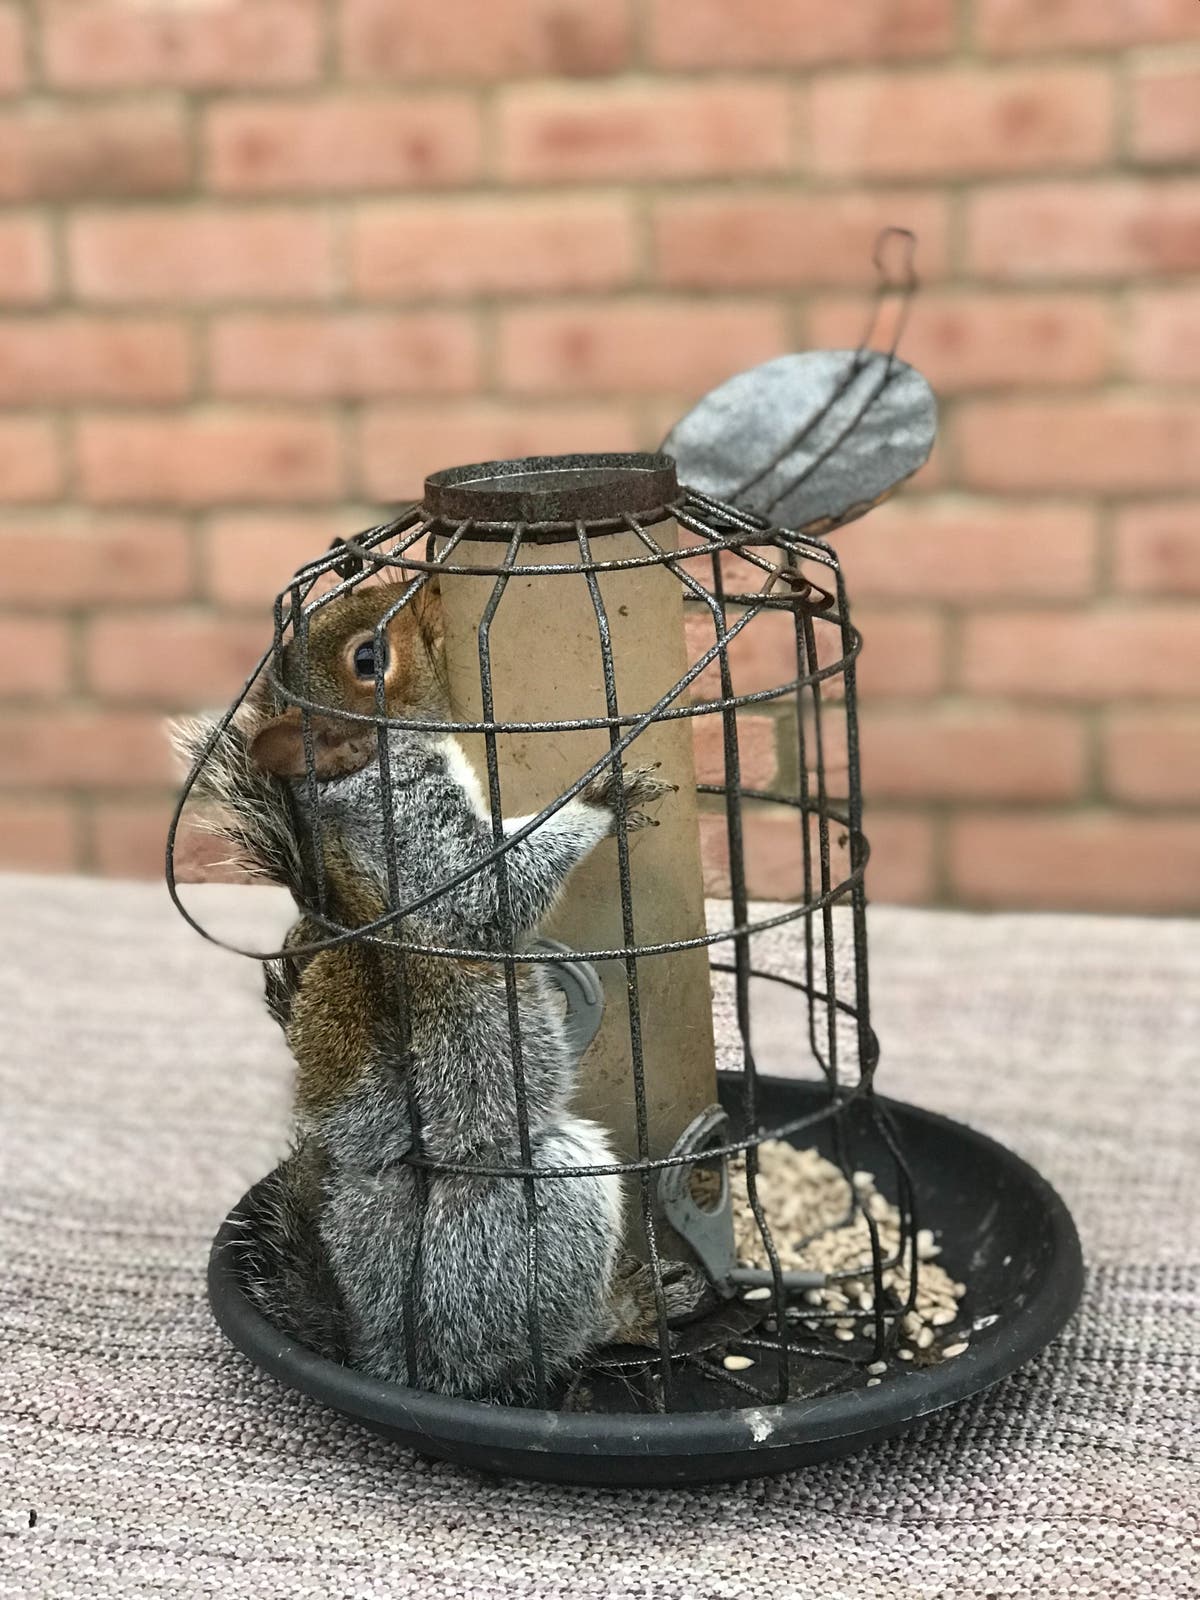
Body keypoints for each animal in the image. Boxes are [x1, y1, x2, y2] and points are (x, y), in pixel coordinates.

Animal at [175, 574, 700, 1401]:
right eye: (368, 659)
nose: (422, 583)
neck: (360, 779)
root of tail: (397, 1356)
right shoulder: (426, 853)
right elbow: (497, 888)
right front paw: (601, 796)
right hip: (535, 1212)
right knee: (547, 1343)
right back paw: (628, 1312)